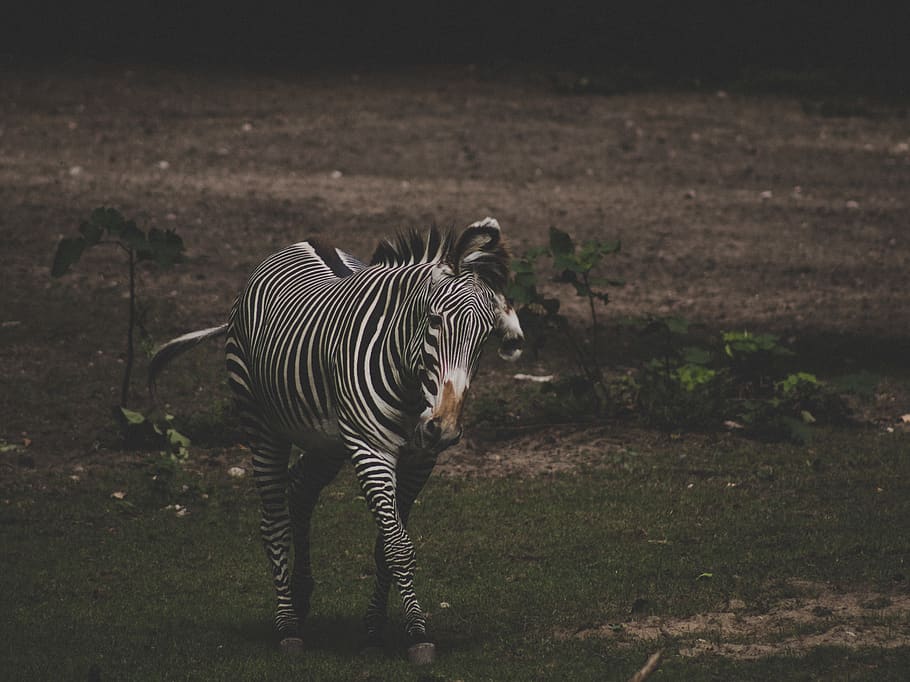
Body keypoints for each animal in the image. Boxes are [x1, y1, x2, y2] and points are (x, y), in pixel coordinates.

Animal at [149, 217, 524, 664]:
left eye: (484, 337)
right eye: (433, 321)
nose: (444, 428)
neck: (409, 382)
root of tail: (300, 242)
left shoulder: (418, 461)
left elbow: (386, 546)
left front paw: (375, 630)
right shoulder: (370, 449)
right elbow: (399, 546)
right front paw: (417, 634)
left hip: (325, 442)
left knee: (299, 490)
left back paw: (299, 598)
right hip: (262, 425)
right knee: (273, 520)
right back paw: (288, 626)